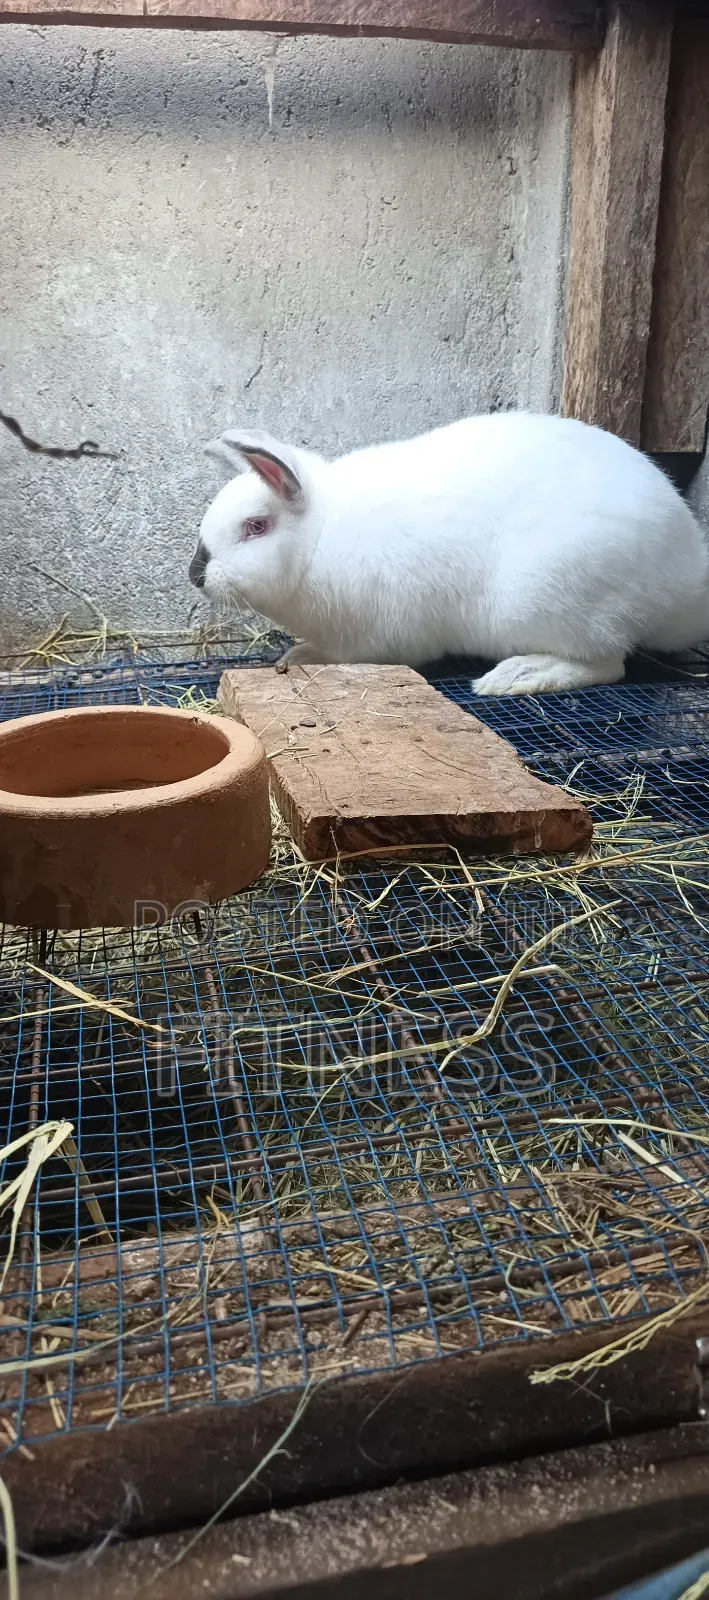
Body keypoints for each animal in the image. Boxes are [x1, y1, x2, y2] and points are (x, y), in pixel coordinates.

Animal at [189, 413, 709, 695]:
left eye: (256, 526)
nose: (196, 574)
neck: (319, 534)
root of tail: (686, 584)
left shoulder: (375, 637)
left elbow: (343, 655)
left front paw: (301, 655)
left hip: (556, 601)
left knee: (608, 663)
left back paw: (517, 676)